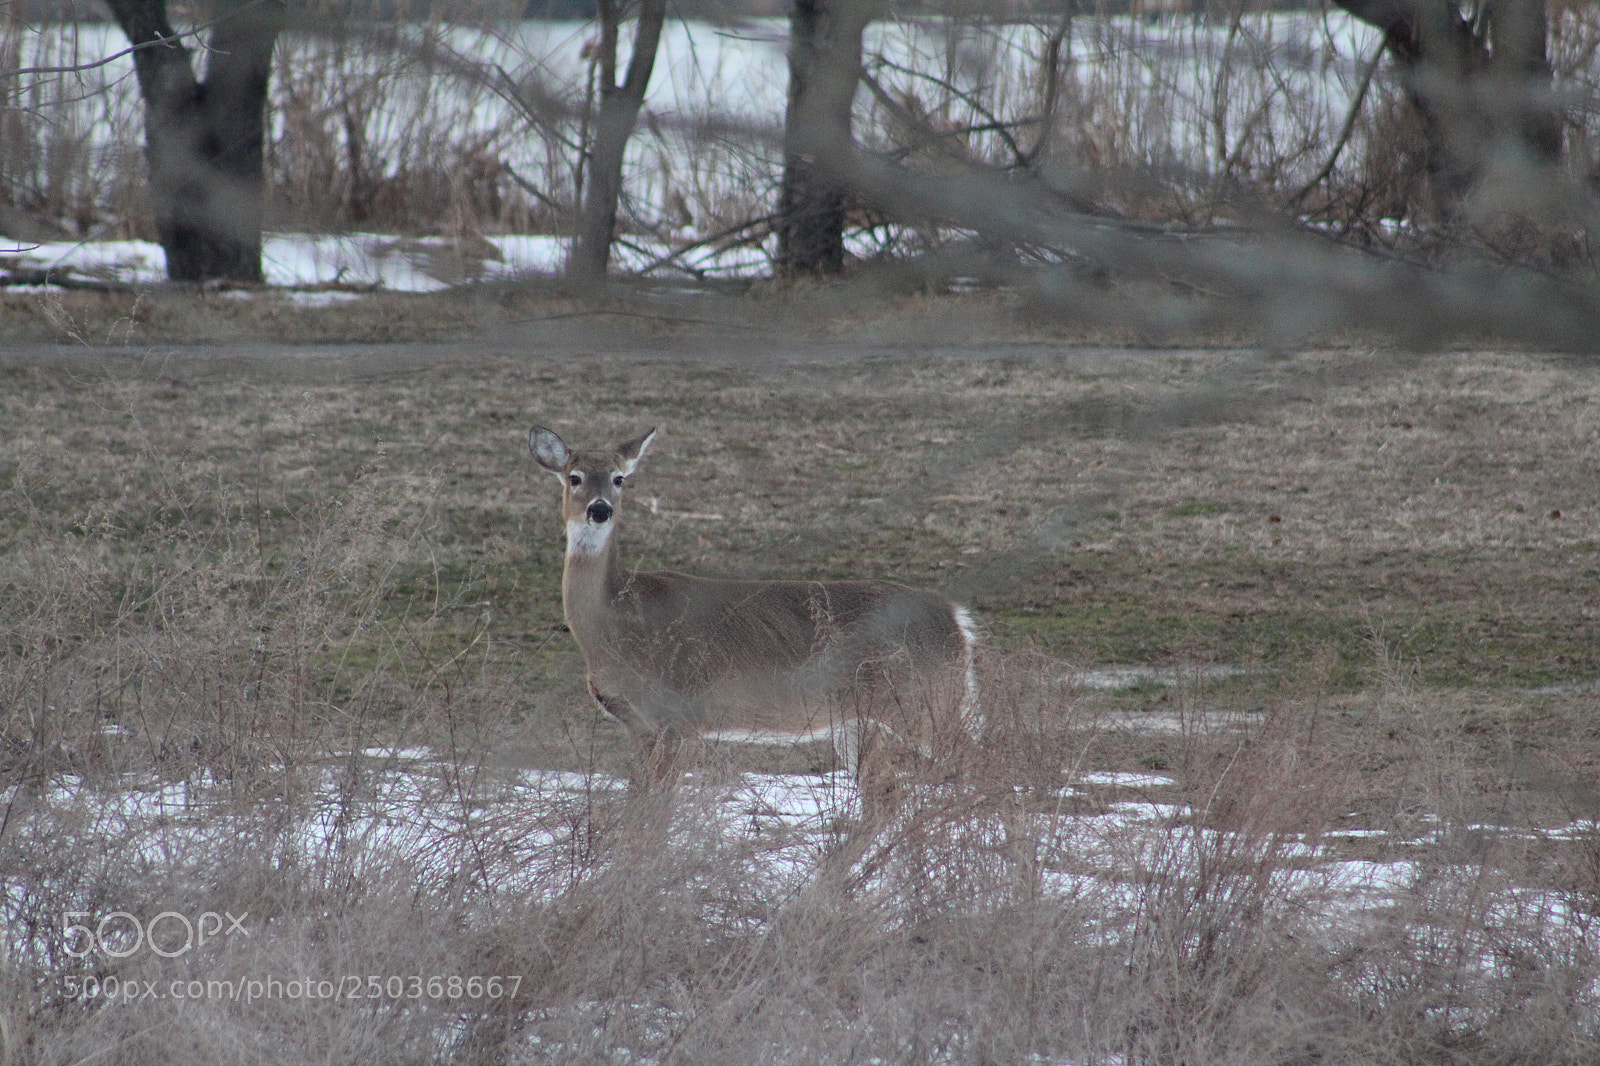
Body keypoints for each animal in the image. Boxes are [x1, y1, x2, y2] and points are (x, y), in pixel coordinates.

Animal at [529, 425, 978, 817]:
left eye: (619, 479)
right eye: (574, 477)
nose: (599, 509)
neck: (615, 625)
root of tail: (957, 619)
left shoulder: (682, 716)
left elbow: (656, 817)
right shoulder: (638, 726)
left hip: (925, 701)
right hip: (862, 721)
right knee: (885, 796)